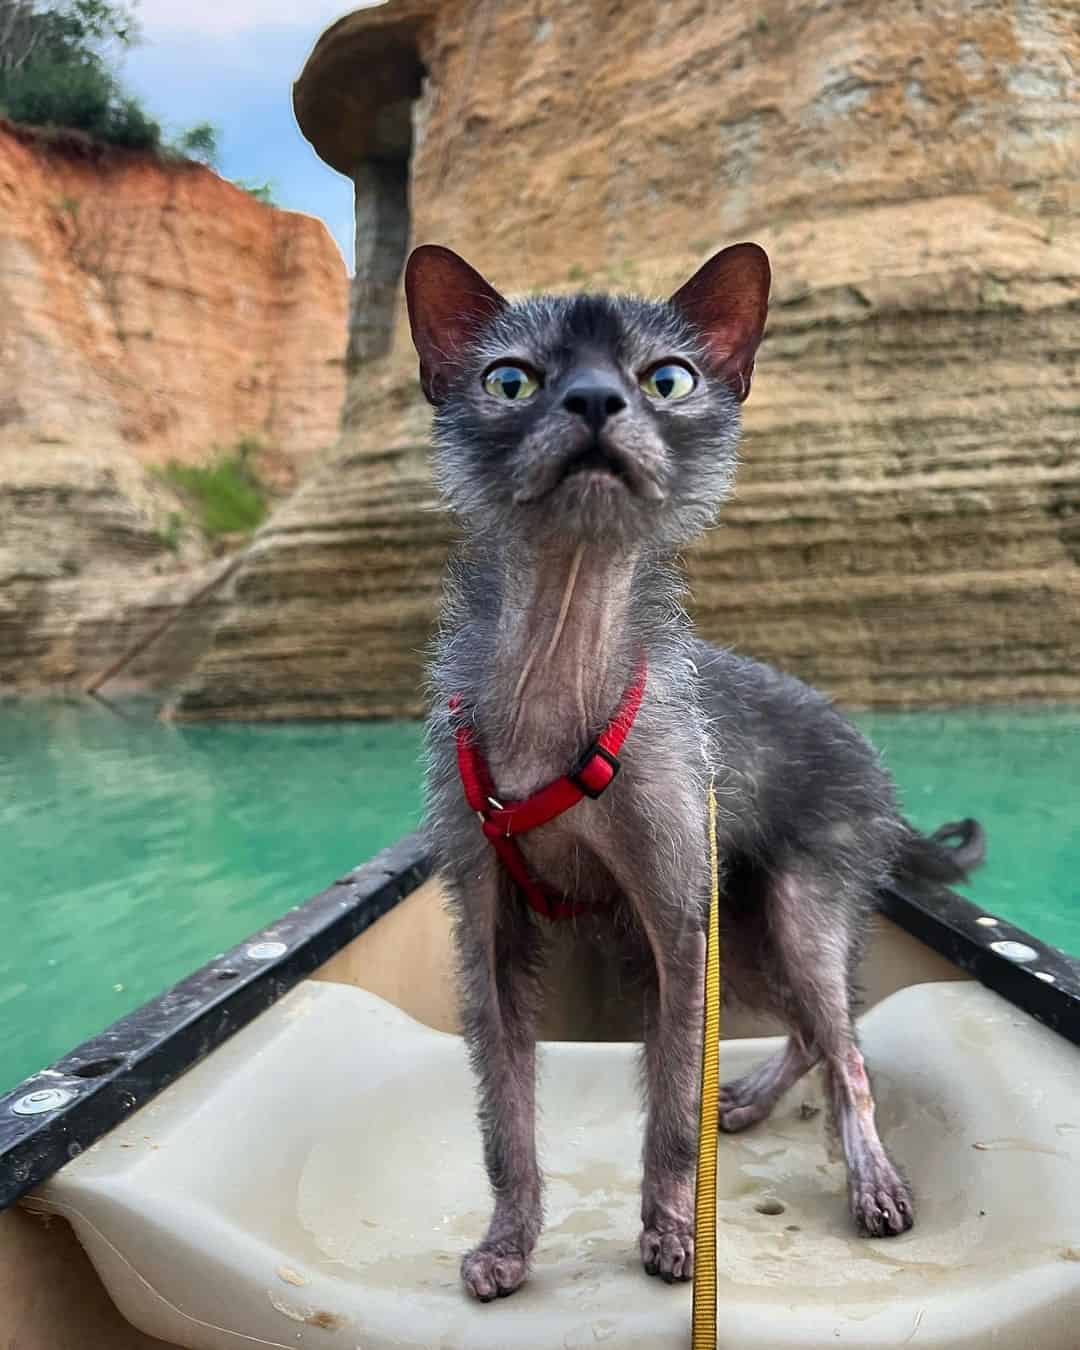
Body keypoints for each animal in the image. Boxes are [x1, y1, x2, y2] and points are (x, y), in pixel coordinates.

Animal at [399, 240, 982, 1296]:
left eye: (667, 379)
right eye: (511, 381)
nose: (594, 400)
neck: (558, 683)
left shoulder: (678, 925)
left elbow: (672, 1110)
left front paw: (672, 1230)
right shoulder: (491, 936)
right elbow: (506, 1121)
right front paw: (511, 1243)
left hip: (796, 908)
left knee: (848, 1047)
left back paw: (870, 1178)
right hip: (746, 927)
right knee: (810, 1031)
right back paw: (750, 1097)